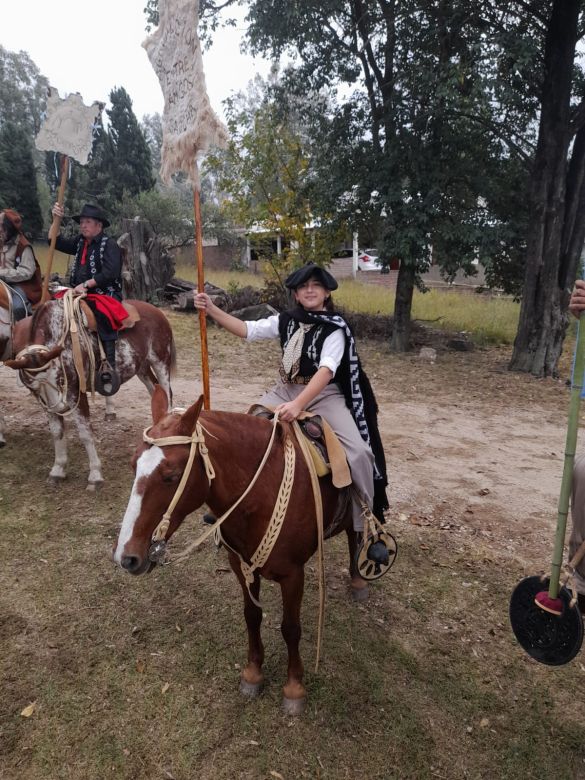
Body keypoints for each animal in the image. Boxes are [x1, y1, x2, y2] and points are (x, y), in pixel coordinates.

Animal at [4, 298, 175, 488]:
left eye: (60, 378)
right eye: (34, 387)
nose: (61, 407)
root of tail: (157, 311)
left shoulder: (76, 394)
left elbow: (85, 433)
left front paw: (95, 474)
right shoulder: (46, 403)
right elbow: (57, 432)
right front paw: (58, 469)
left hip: (160, 361)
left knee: (167, 394)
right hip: (142, 367)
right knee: (155, 391)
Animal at [112, 384, 374, 712]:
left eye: (170, 476)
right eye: (132, 465)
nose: (127, 557)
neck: (261, 492)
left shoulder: (293, 575)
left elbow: (291, 627)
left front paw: (294, 687)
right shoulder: (239, 564)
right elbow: (252, 616)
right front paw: (253, 673)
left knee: (357, 529)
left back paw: (359, 580)